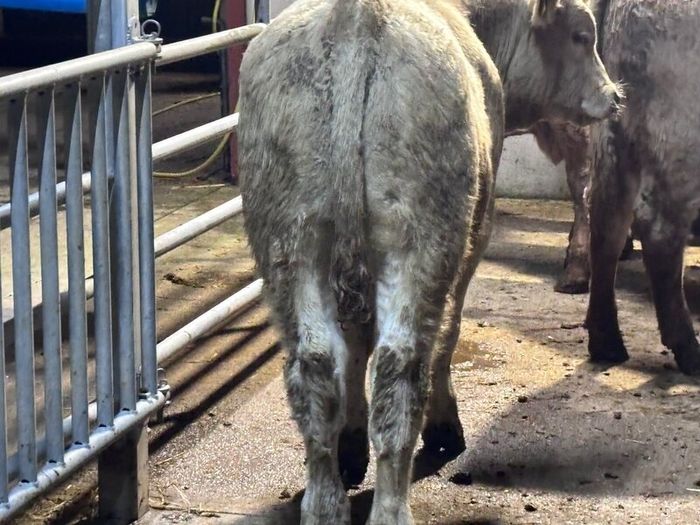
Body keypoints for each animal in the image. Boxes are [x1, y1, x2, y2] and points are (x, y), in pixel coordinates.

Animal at [237, 0, 618, 523]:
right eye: (582, 36)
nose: (614, 96)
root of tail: (355, 17)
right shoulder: (475, 235)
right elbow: (448, 334)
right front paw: (442, 428)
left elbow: (355, 348)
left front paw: (351, 446)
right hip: (422, 241)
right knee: (402, 366)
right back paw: (393, 505)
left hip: (291, 239)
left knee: (316, 364)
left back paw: (324, 501)